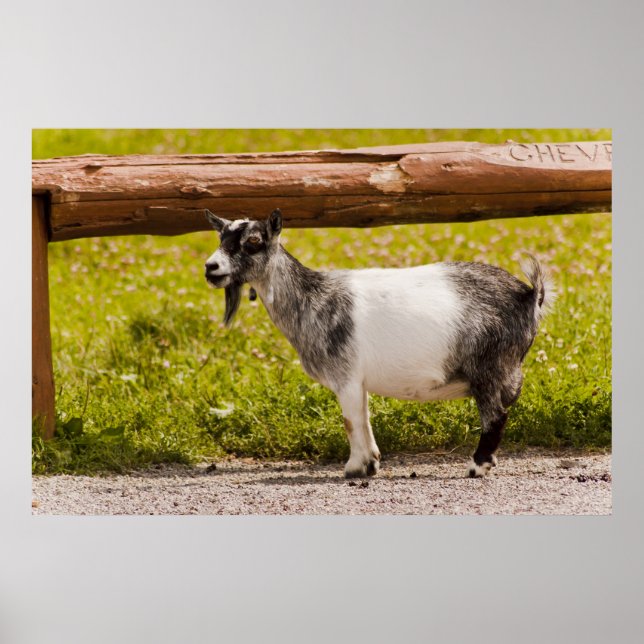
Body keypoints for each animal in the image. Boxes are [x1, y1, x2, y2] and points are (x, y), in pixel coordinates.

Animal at [204, 208, 554, 478]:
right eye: (221, 239)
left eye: (253, 242)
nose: (211, 267)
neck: (312, 300)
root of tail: (529, 296)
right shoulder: (357, 382)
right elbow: (364, 417)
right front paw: (371, 463)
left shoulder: (344, 377)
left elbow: (350, 421)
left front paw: (354, 468)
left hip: (489, 367)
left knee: (495, 416)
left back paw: (476, 467)